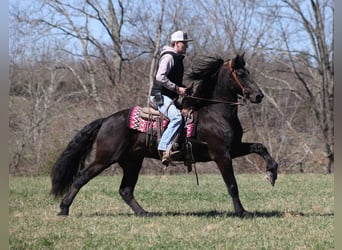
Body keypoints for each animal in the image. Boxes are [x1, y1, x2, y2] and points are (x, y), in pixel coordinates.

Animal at [52, 53, 280, 217]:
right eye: (241, 74)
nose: (258, 95)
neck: (215, 112)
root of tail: (107, 119)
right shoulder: (221, 154)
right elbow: (232, 185)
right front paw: (242, 212)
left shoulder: (233, 148)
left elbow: (260, 147)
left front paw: (272, 173)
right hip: (104, 158)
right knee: (81, 178)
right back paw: (63, 209)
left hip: (132, 161)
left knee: (125, 190)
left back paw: (144, 213)